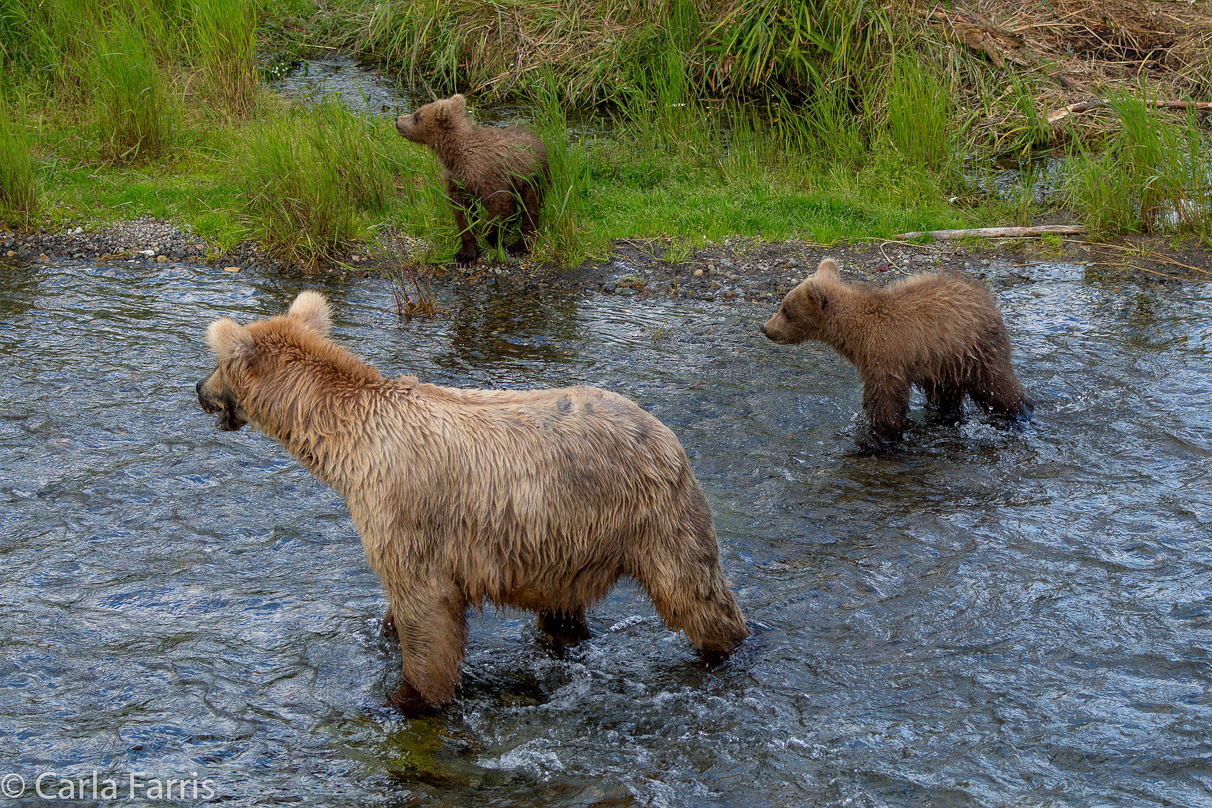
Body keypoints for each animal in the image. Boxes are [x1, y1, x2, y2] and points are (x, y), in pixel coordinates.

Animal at [196, 294, 746, 712]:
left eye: (216, 363)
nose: (199, 389)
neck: (349, 447)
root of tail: (665, 432)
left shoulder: (404, 515)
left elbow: (427, 618)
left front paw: (408, 698)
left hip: (651, 514)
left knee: (694, 593)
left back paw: (723, 650)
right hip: (568, 540)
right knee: (565, 611)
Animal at [756, 259, 1032, 443]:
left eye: (786, 310)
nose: (766, 328)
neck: (856, 335)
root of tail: (986, 296)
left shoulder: (886, 355)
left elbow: (885, 400)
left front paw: (882, 434)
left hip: (975, 349)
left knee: (997, 385)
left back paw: (1017, 412)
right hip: (946, 361)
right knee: (946, 394)